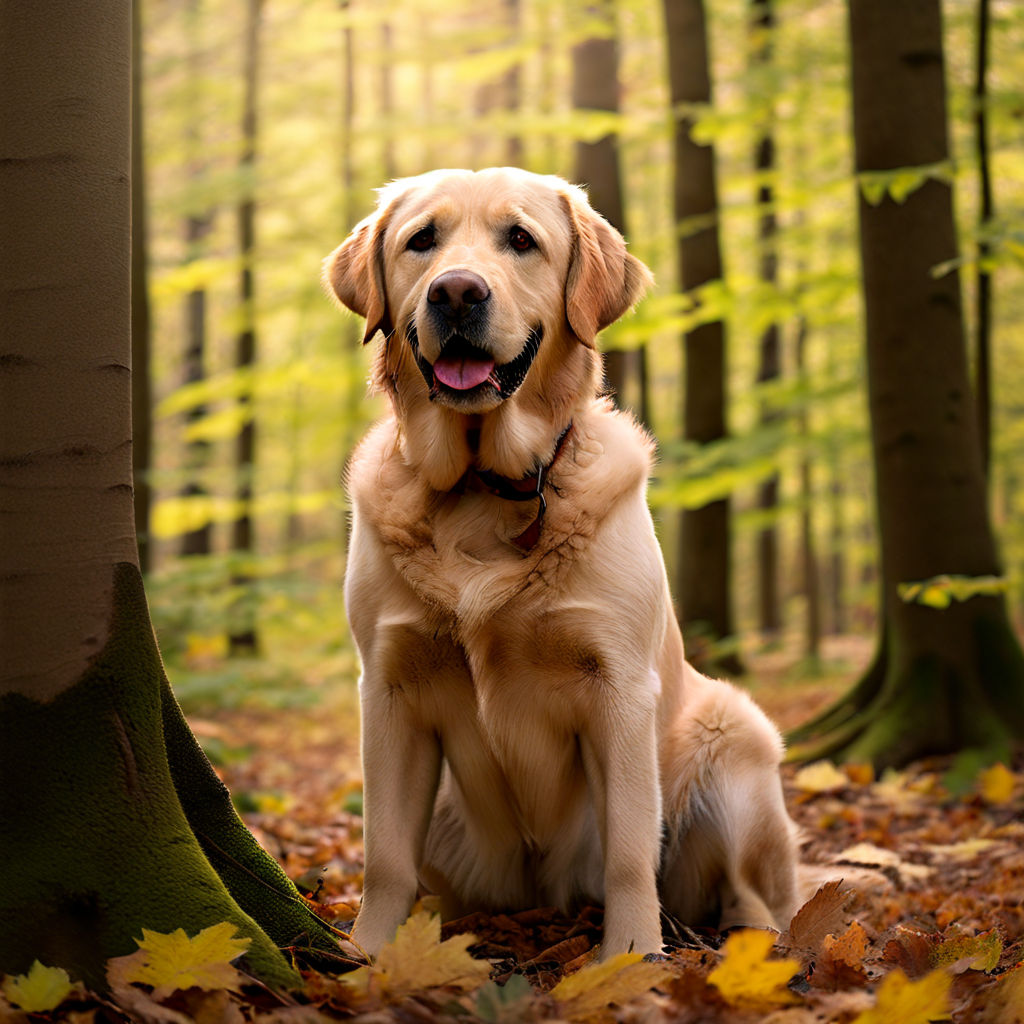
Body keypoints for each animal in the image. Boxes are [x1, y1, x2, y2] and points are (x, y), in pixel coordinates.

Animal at [323, 167, 794, 958]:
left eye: (521, 239)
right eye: (422, 240)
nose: (457, 292)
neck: (483, 486)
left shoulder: (618, 686)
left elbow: (629, 852)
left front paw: (632, 958)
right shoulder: (388, 688)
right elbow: (383, 853)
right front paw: (365, 955)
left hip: (734, 732)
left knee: (758, 894)